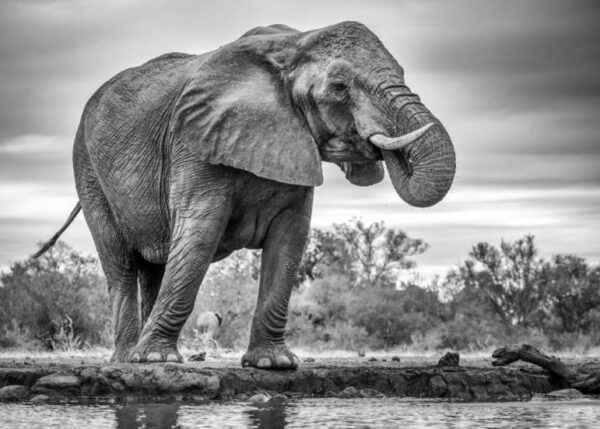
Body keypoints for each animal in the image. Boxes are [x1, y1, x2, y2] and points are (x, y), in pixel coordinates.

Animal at [36, 20, 454, 368]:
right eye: (339, 87)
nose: (380, 148)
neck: (293, 44)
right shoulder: (194, 141)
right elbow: (200, 234)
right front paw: (156, 360)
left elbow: (290, 240)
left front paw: (273, 363)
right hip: (88, 168)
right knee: (120, 262)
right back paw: (129, 359)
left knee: (155, 264)